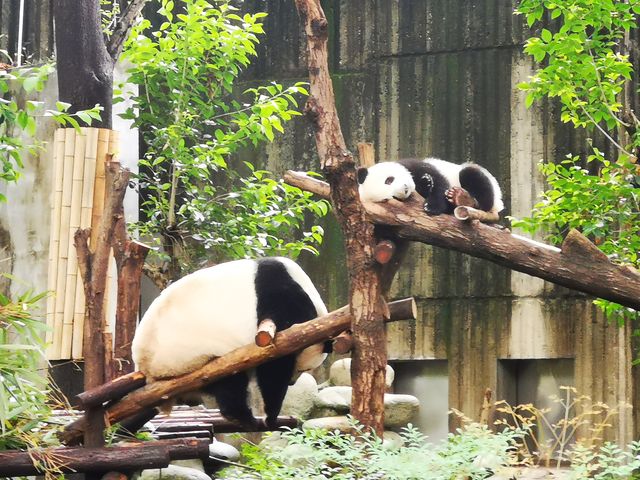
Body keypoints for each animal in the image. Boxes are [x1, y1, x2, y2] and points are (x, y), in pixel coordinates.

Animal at [131, 256, 330, 430]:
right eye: (305, 368)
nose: (292, 383)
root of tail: (147, 370)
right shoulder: (283, 305)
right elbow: (273, 367)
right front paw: (272, 417)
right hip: (192, 357)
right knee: (231, 379)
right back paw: (244, 418)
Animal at [358, 158, 502, 217]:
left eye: (389, 180)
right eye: (392, 197)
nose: (405, 189)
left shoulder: (414, 165)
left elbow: (439, 182)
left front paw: (431, 206)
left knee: (472, 175)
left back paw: (464, 198)